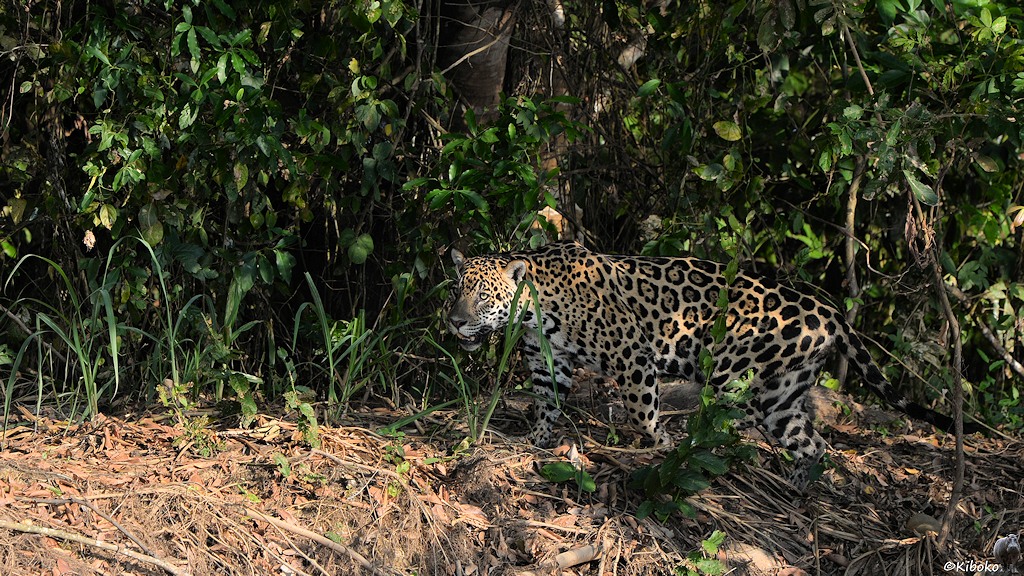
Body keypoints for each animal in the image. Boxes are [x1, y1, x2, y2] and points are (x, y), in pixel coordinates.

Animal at [445, 242, 978, 489]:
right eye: (456, 290)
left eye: (482, 296)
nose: (454, 321)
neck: (536, 309)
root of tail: (831, 311)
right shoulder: (547, 362)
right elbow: (547, 404)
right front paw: (534, 442)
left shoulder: (632, 355)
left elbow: (642, 409)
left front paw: (657, 447)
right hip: (782, 394)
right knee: (812, 441)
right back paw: (798, 483)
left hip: (734, 374)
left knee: (727, 423)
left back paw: (703, 453)